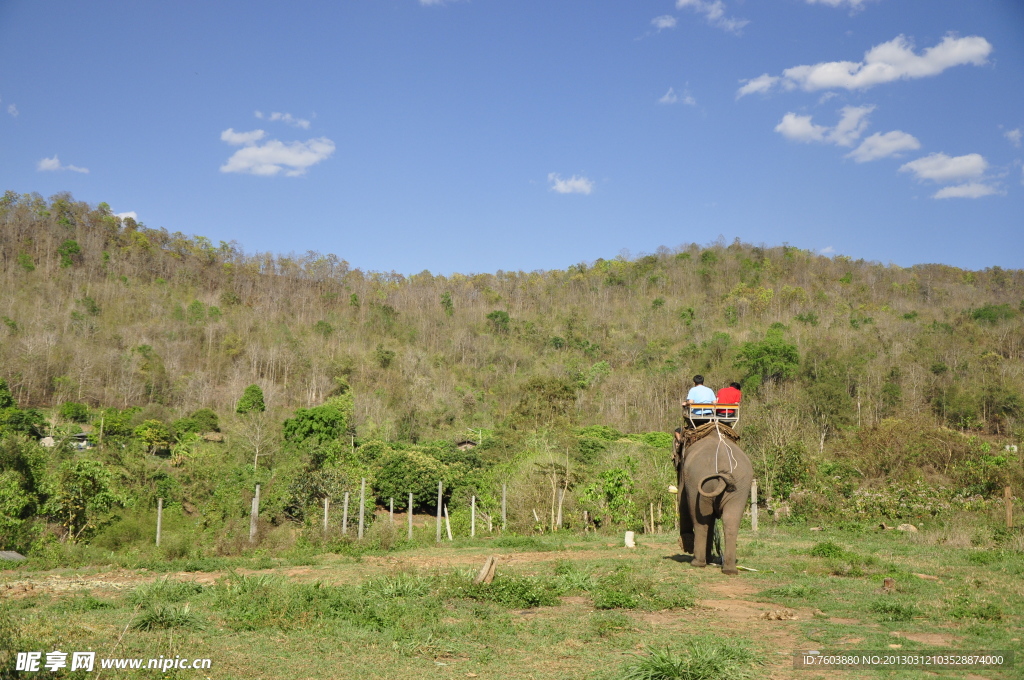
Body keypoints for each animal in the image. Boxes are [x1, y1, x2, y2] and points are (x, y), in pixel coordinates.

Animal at [675, 430, 757, 573]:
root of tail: (723, 465)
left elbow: (682, 500)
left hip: (697, 481)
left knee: (700, 521)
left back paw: (697, 563)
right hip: (740, 486)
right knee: (731, 520)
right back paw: (729, 569)